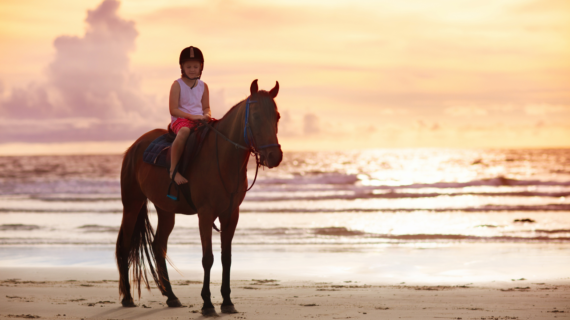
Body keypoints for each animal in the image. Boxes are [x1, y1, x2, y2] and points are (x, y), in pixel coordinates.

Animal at [115, 79, 282, 316]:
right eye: (257, 116)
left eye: (277, 117)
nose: (274, 156)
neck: (223, 158)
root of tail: (134, 147)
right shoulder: (205, 214)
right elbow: (208, 258)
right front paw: (207, 304)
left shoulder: (231, 215)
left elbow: (226, 258)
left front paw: (227, 302)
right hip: (132, 205)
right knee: (125, 245)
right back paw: (128, 297)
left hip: (165, 210)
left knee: (158, 246)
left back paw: (171, 296)